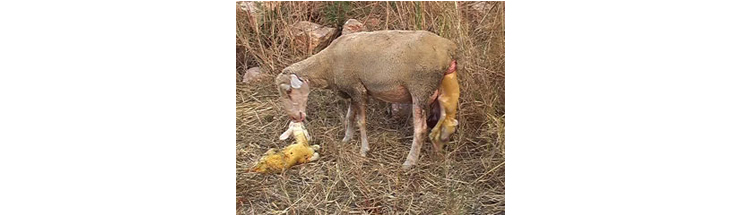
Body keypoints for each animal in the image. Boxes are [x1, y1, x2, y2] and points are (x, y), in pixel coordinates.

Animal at [274, 29, 460, 170]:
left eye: (289, 91)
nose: (295, 117)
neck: (327, 66)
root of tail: (448, 48)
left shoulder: (358, 90)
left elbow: (361, 122)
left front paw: (364, 150)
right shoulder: (351, 91)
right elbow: (349, 117)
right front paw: (347, 139)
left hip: (420, 89)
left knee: (420, 129)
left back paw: (410, 162)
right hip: (439, 89)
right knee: (445, 120)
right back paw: (438, 150)